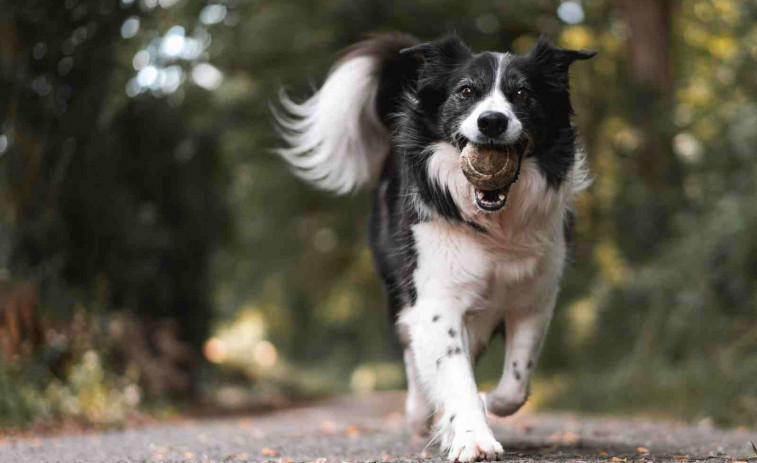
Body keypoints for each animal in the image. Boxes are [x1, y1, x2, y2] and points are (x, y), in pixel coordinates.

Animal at [272, 34, 596, 462]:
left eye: (523, 93)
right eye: (466, 91)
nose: (492, 121)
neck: (494, 224)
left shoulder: (534, 296)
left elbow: (516, 383)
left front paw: (487, 404)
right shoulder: (435, 297)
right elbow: (453, 372)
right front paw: (472, 437)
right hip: (399, 288)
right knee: (413, 352)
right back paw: (419, 412)